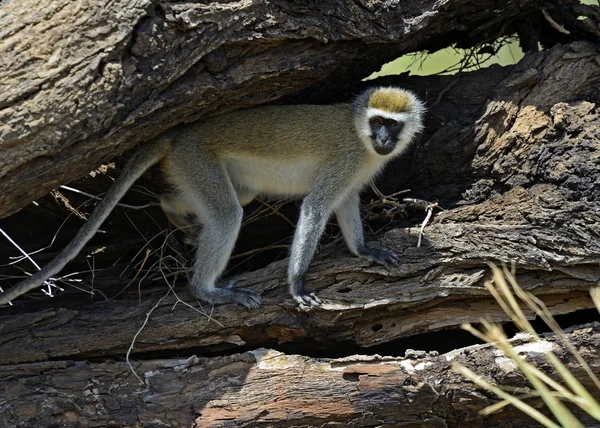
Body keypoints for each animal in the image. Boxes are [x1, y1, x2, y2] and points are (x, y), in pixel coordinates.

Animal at [0, 87, 424, 308]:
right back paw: (207, 291)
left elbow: (346, 202)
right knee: (226, 214)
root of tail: (179, 133)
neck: (359, 137)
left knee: (228, 199)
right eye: (377, 122)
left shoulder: (354, 174)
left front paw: (364, 250)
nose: (383, 139)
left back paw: (175, 213)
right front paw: (297, 284)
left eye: (392, 126)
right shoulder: (345, 160)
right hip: (196, 159)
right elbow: (316, 207)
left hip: (196, 168)